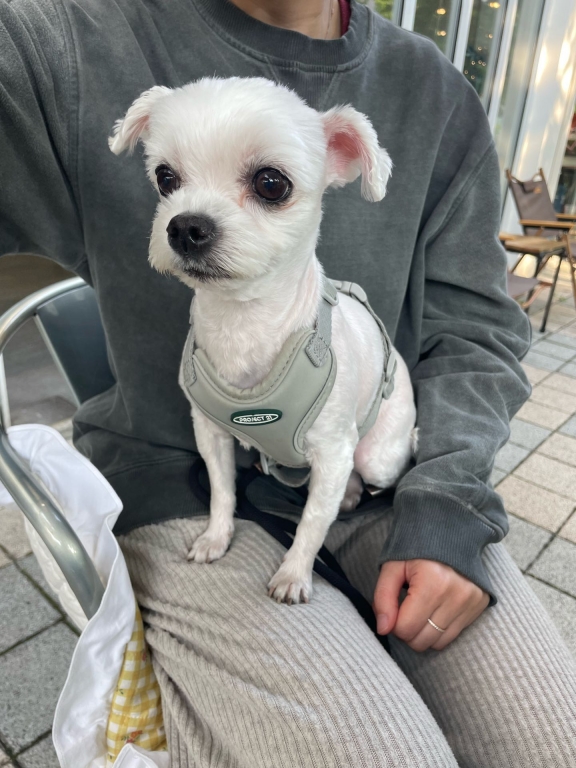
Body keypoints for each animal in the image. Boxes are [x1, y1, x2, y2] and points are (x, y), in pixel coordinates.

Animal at [110, 77, 417, 605]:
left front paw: (294, 572)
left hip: (377, 452)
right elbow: (222, 490)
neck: (245, 322)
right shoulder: (209, 433)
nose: (185, 226)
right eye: (166, 178)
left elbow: (313, 521)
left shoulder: (332, 449)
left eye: (271, 183)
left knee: (373, 468)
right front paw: (216, 536)